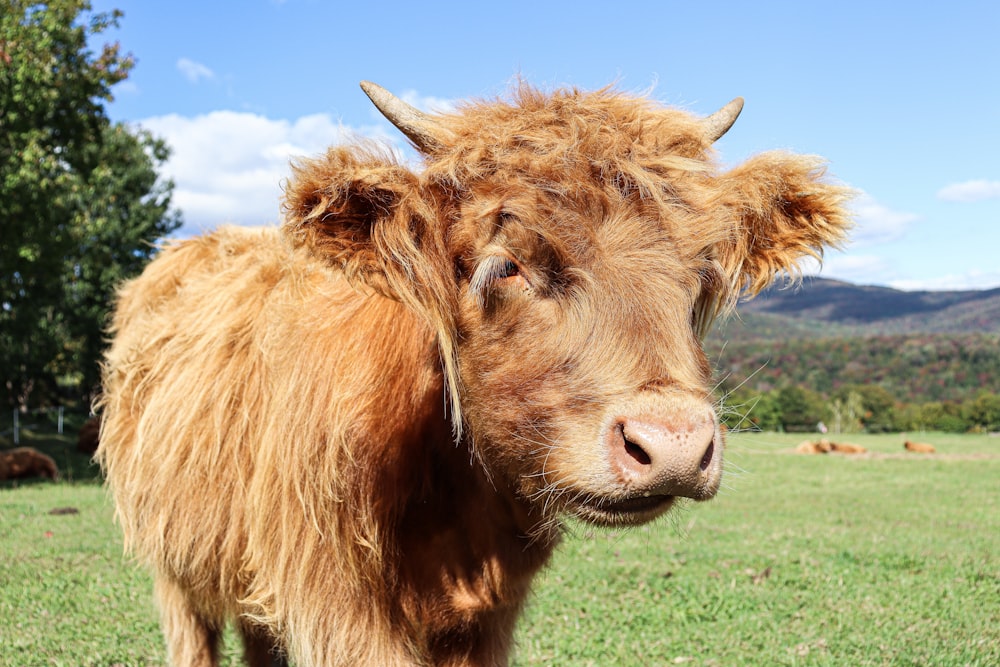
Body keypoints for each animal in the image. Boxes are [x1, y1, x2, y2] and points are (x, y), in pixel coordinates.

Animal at [97, 81, 852, 664]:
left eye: (700, 274)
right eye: (505, 264)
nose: (672, 446)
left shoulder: (487, 614)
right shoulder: (335, 603)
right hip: (174, 564)